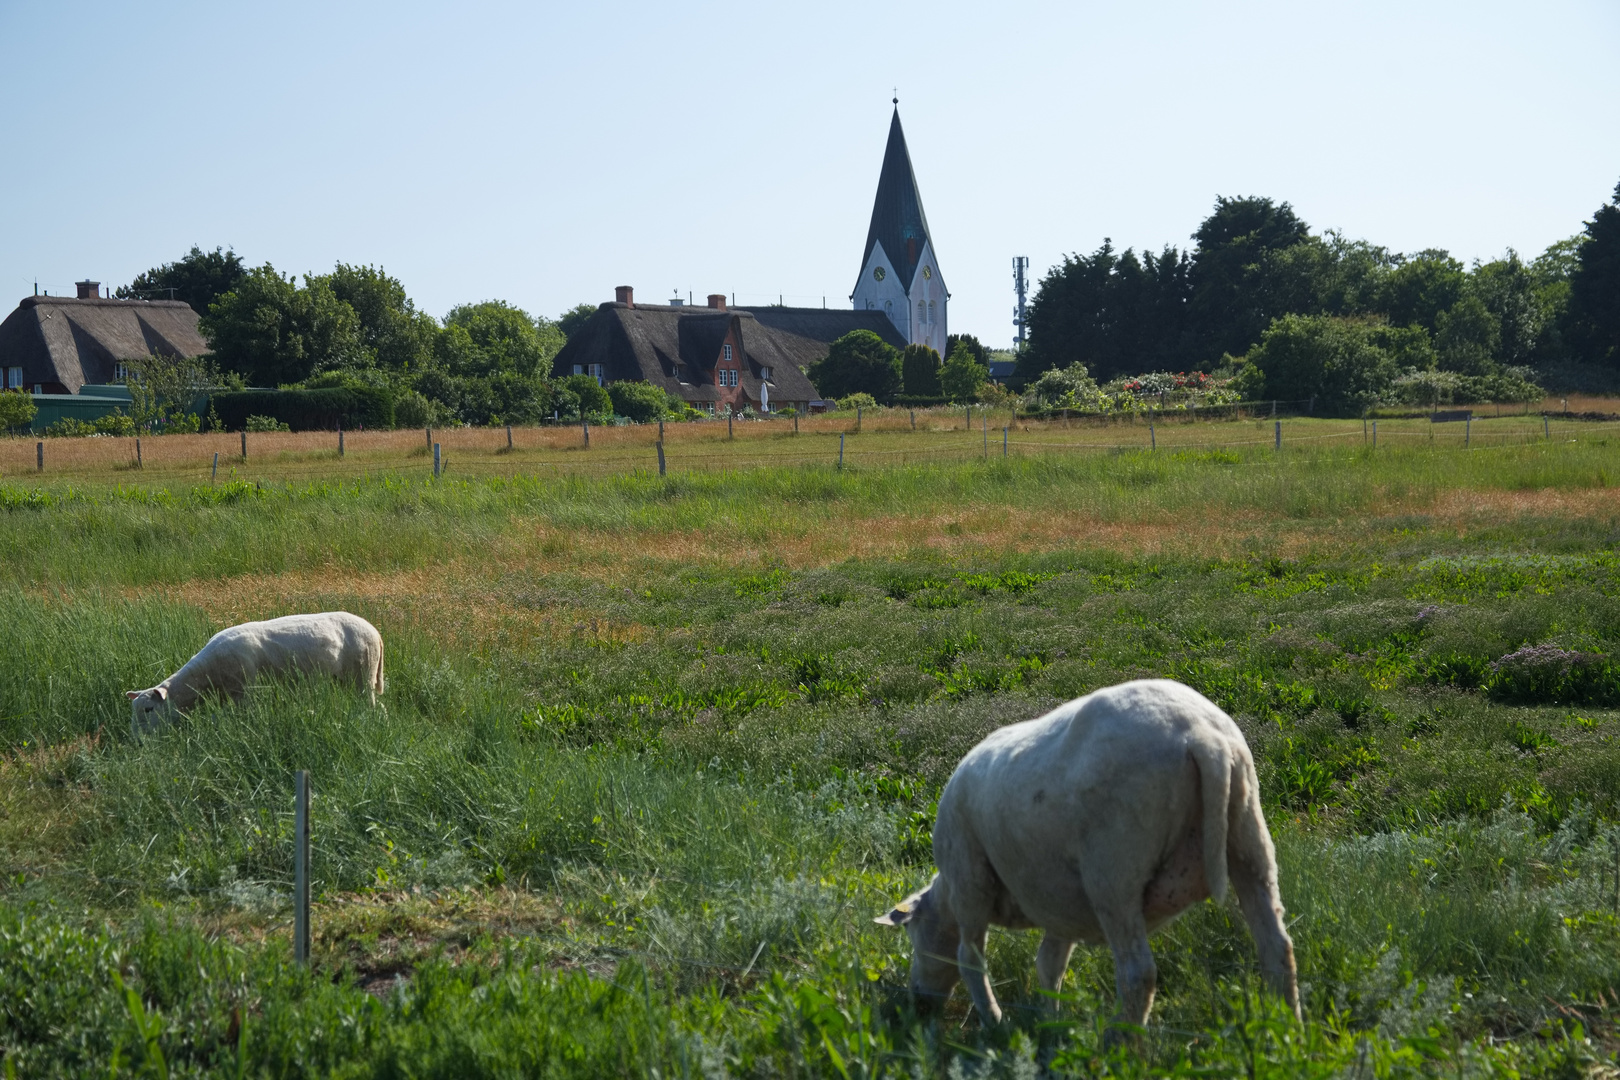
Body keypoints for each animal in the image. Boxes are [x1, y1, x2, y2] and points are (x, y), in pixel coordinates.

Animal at [125, 612, 382, 731]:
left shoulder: (245, 692)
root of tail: (375, 631)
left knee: (370, 706)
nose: (137, 741)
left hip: (363, 674)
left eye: (148, 709)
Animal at [874, 683, 1302, 1029]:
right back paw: (1288, 1028)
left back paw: (1119, 1045)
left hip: (1114, 870)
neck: (945, 897)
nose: (918, 1002)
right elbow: (1050, 964)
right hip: (1249, 837)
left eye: (913, 934)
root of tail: (1202, 736)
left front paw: (995, 1023)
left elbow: (970, 959)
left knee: (1137, 974)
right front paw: (1050, 1021)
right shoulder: (1058, 902)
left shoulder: (969, 881)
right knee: (1276, 945)